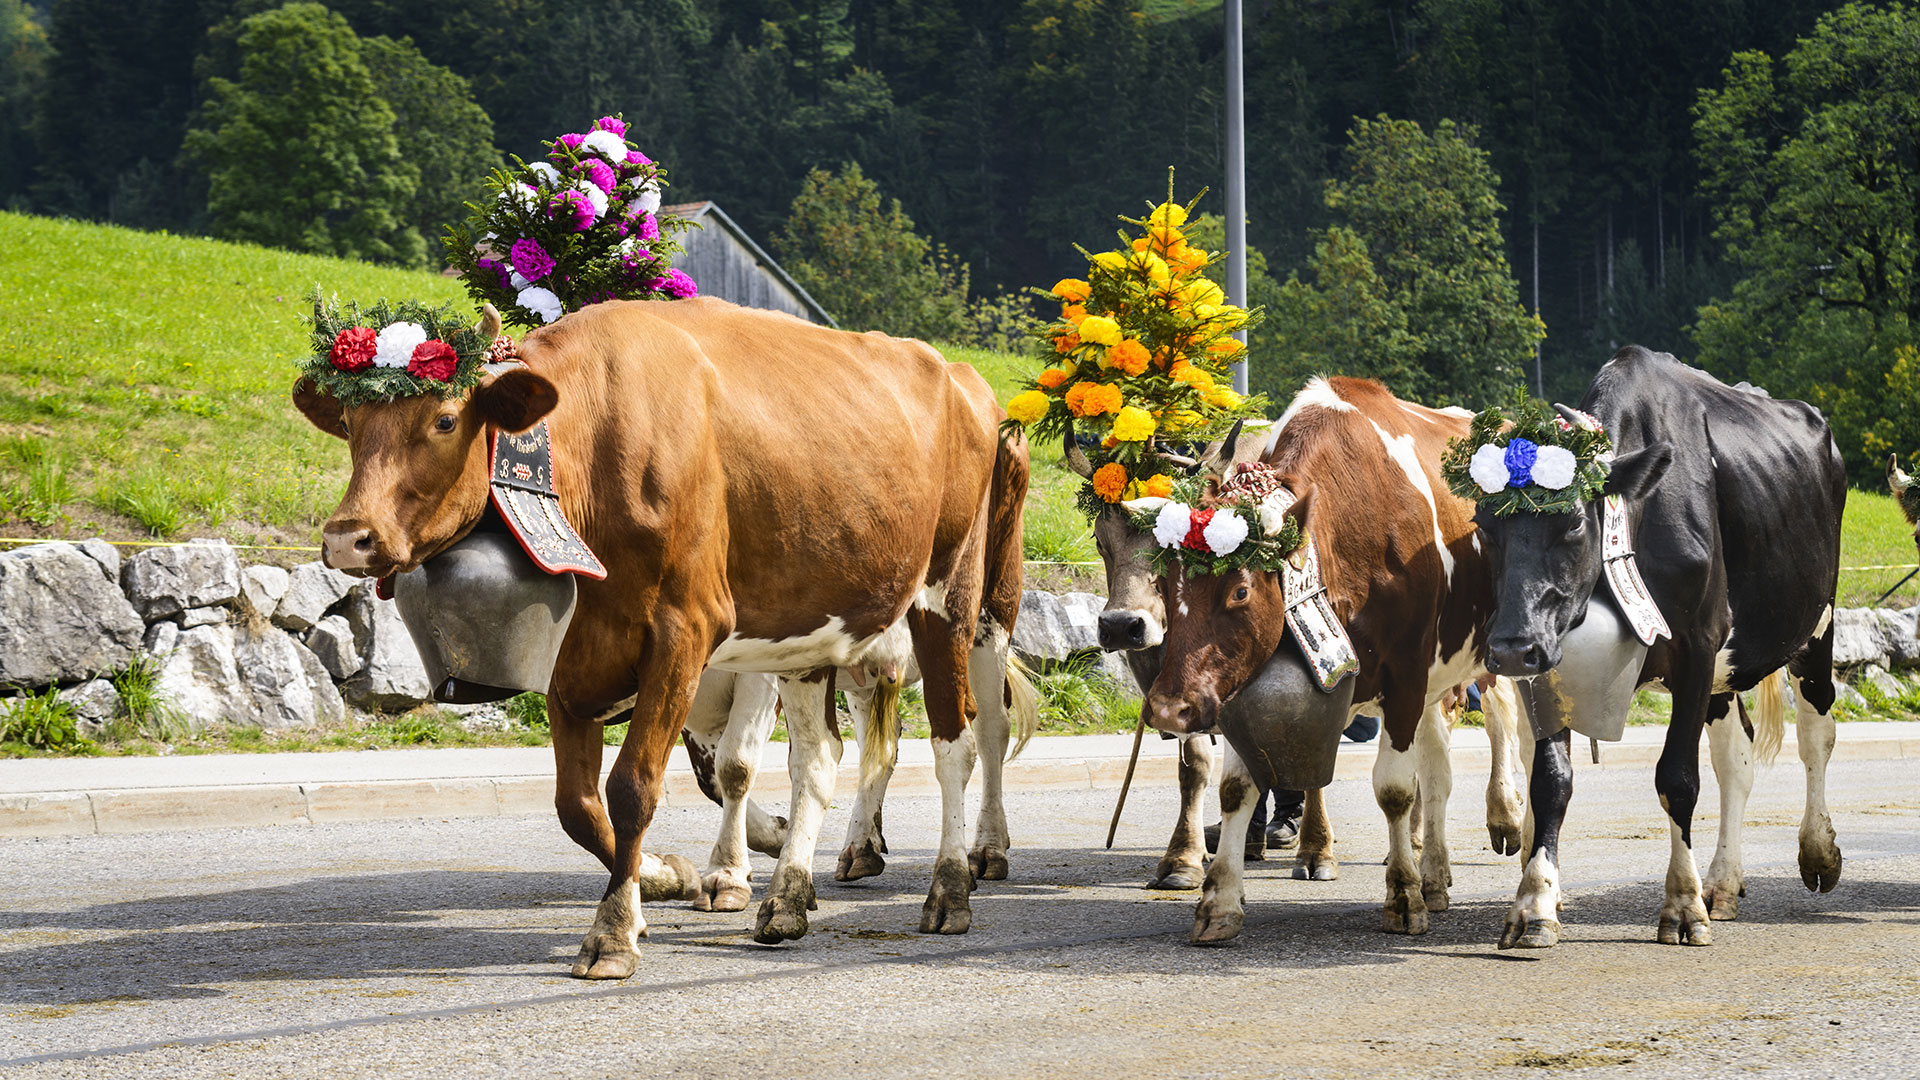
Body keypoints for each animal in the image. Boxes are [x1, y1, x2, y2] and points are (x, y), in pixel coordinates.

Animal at [291, 294, 1029, 976]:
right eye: (351, 425)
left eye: (444, 419)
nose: (347, 537)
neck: (586, 452)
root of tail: (957, 373)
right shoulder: (574, 658)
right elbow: (577, 805)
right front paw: (663, 878)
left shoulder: (685, 632)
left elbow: (638, 786)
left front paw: (614, 931)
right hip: (809, 626)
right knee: (821, 758)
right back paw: (789, 899)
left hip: (957, 598)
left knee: (962, 740)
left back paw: (954, 884)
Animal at [1144, 376, 1520, 933]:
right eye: (1164, 586)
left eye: (1240, 592)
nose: (1170, 708)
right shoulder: (1242, 688)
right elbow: (1236, 789)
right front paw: (1219, 902)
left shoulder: (1405, 677)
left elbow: (1394, 790)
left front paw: (1402, 897)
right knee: (1439, 772)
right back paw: (1435, 876)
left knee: (1508, 721)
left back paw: (1509, 820)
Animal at [1466, 343, 1843, 941]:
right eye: (1485, 523)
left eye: (1573, 523)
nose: (1508, 648)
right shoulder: (1553, 662)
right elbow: (1550, 780)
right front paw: (1535, 901)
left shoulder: (1698, 642)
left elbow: (1678, 779)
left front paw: (1682, 905)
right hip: (1724, 673)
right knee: (1735, 758)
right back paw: (1723, 882)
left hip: (1816, 621)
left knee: (1816, 731)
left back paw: (1817, 853)